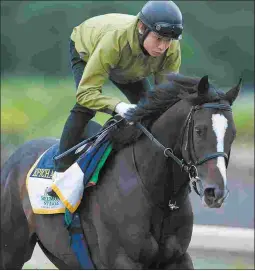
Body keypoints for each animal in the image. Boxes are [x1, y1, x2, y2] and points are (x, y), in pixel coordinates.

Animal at [0, 74, 241, 270]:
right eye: (199, 130)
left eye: (233, 134)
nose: (215, 192)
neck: (157, 196)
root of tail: (13, 158)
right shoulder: (122, 261)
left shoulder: (177, 259)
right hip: (11, 251)